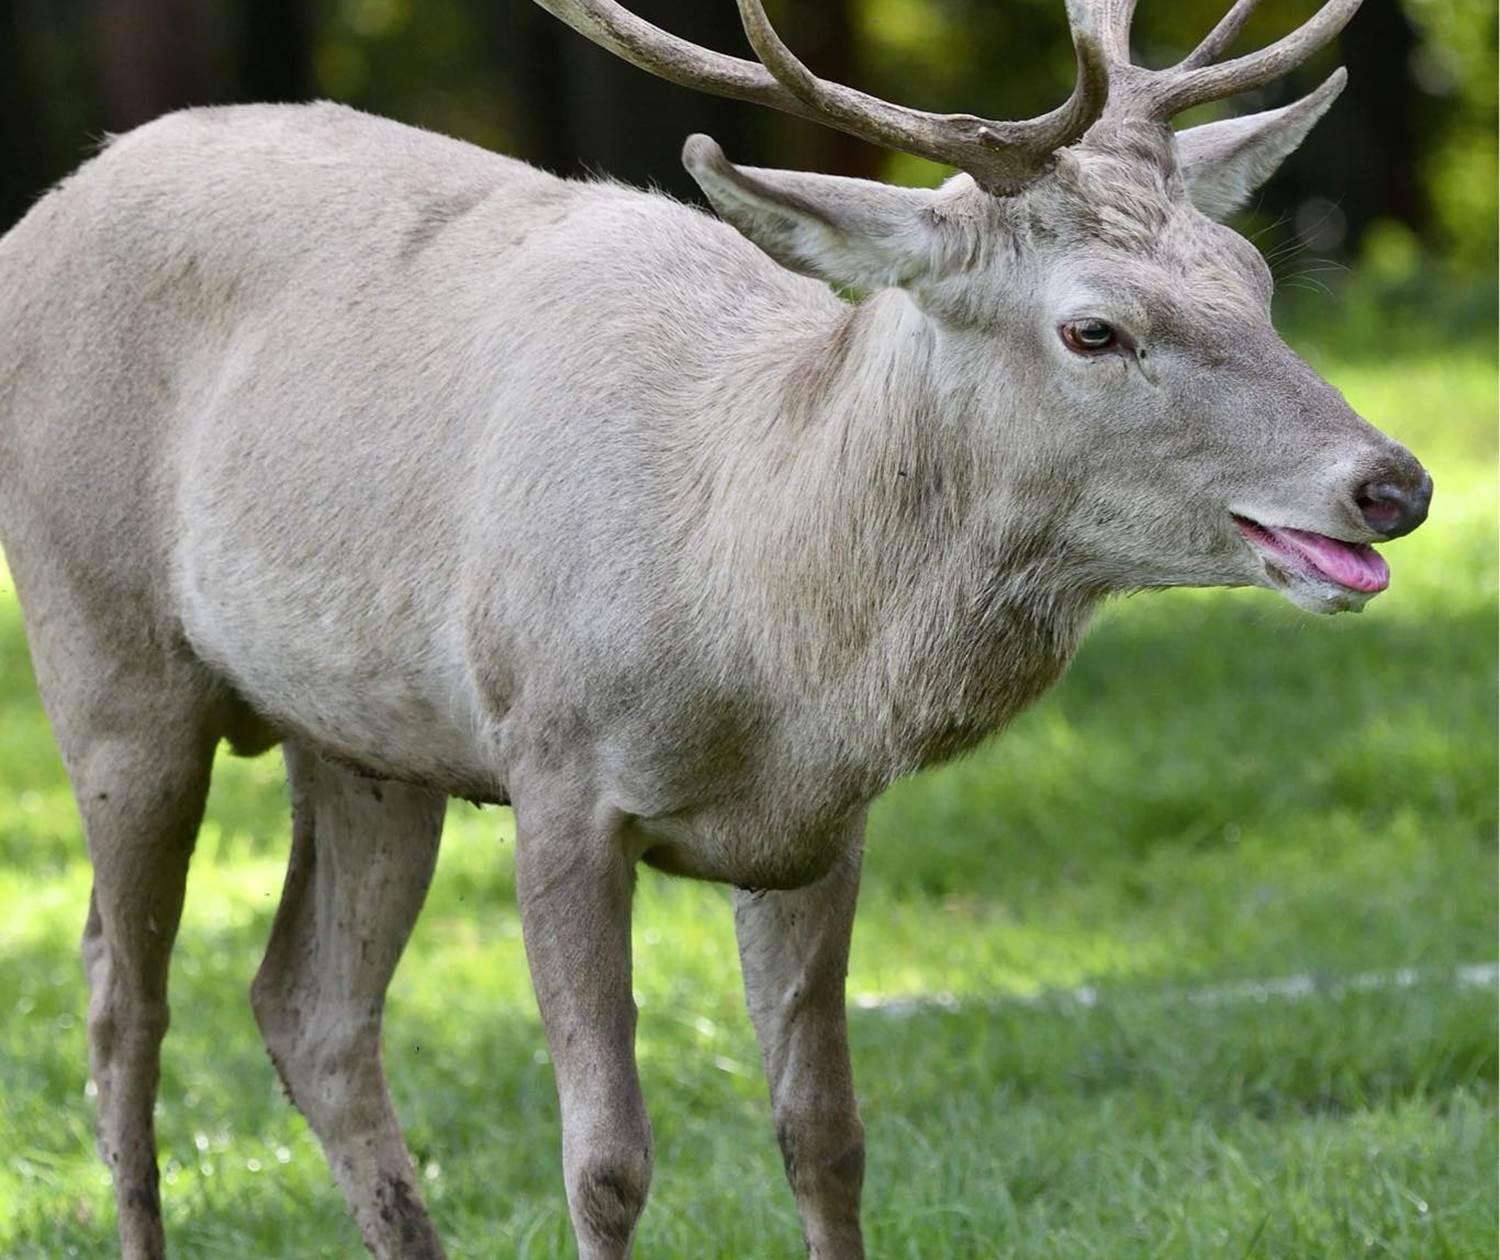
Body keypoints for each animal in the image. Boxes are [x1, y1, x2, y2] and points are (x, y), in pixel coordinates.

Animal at [0, 0, 1431, 1255]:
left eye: (1253, 275)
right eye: (1094, 328)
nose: (1393, 484)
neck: (755, 622)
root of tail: (41, 213)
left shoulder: (820, 831)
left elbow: (826, 1136)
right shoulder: (556, 763)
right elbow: (607, 1159)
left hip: (365, 739)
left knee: (309, 1007)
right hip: (103, 649)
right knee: (119, 1001)